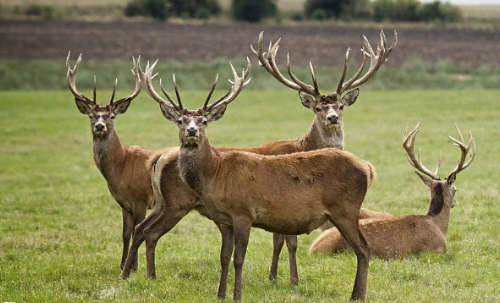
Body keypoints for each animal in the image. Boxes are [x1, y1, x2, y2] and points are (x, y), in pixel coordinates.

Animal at [65, 52, 157, 274]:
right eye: (91, 115)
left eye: (112, 116)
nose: (100, 126)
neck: (122, 166)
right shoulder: (123, 203)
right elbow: (125, 234)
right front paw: (123, 265)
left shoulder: (141, 199)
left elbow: (136, 231)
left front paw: (133, 268)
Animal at [119, 31, 396, 290]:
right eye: (317, 108)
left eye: (340, 106)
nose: (332, 118)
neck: (303, 145)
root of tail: (158, 158)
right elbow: (287, 241)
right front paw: (288, 278)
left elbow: (280, 240)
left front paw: (276, 277)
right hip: (177, 202)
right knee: (149, 232)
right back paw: (143, 275)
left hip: (161, 202)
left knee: (140, 229)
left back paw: (129, 272)